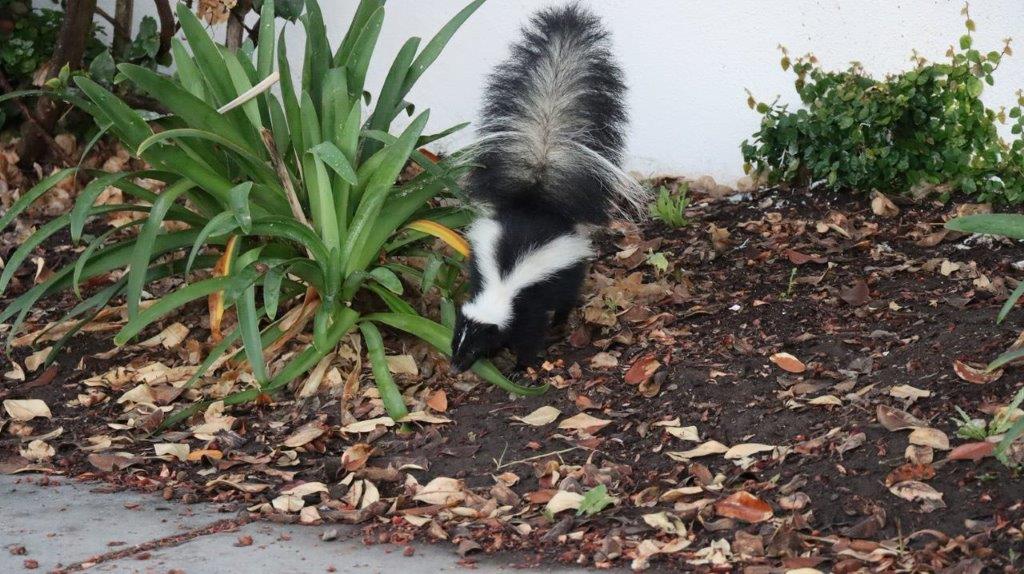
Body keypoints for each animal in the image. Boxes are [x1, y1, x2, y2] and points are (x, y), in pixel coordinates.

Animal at [452, 3, 643, 372]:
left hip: (570, 270)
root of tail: (537, 203)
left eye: (472, 346)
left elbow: (530, 332)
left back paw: (562, 320)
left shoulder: (530, 303)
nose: (454, 366)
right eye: (457, 341)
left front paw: (521, 366)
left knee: (568, 296)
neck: (504, 287)